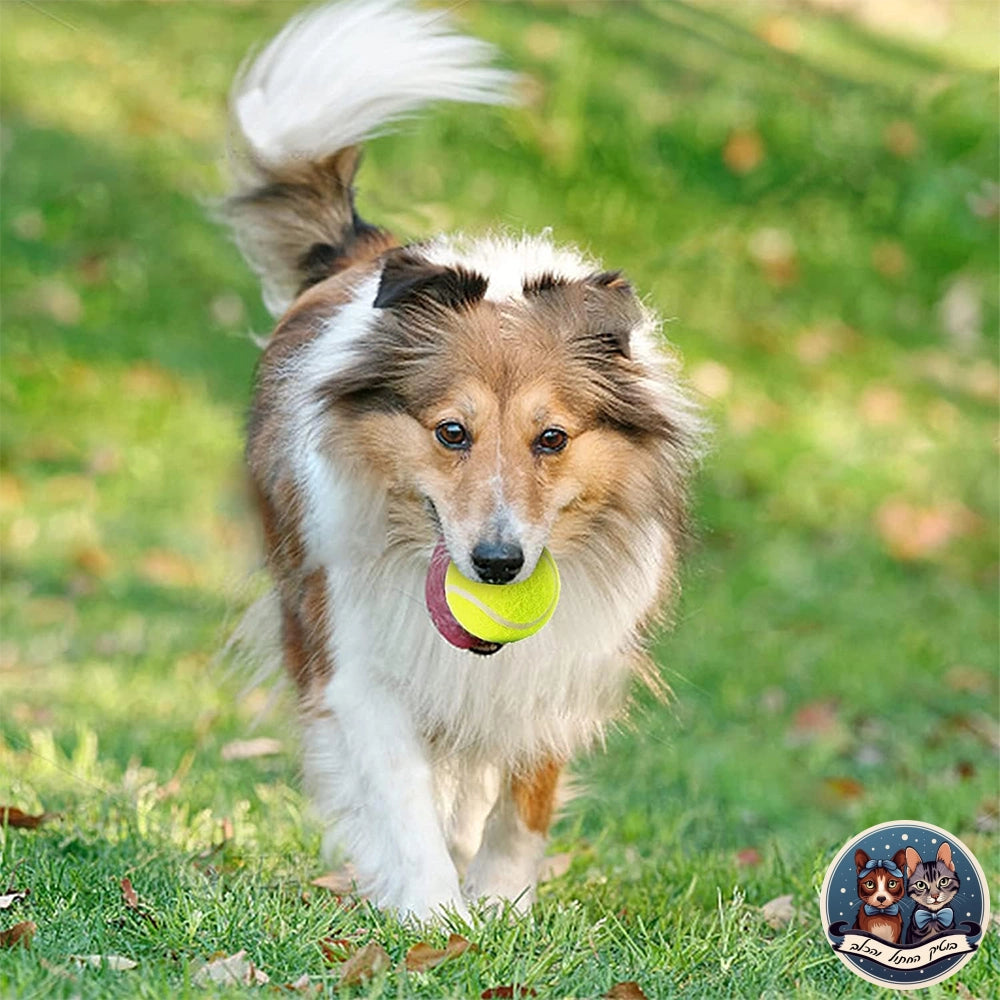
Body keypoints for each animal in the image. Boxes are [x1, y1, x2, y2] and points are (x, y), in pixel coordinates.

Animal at [223, 1, 700, 920]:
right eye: (451, 433)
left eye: (552, 439)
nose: (499, 565)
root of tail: (363, 251)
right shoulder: (357, 661)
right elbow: (400, 792)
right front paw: (434, 913)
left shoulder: (559, 662)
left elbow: (526, 794)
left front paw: (503, 902)